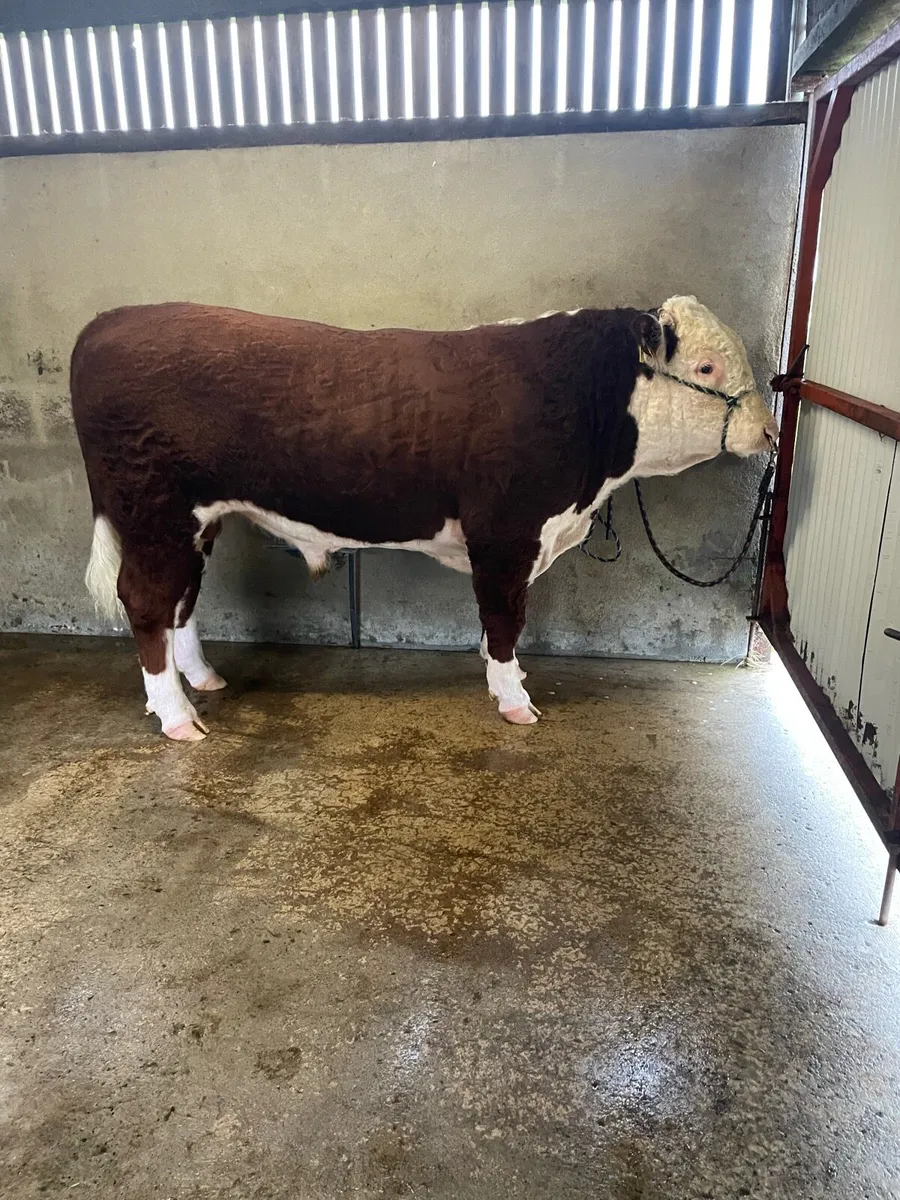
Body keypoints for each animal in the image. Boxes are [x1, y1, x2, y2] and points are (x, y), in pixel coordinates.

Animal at [70, 296, 778, 742]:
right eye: (707, 366)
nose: (770, 432)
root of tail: (108, 321)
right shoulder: (506, 534)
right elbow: (504, 619)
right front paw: (514, 701)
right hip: (154, 513)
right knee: (146, 602)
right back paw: (176, 717)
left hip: (196, 522)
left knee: (182, 602)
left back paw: (202, 680)